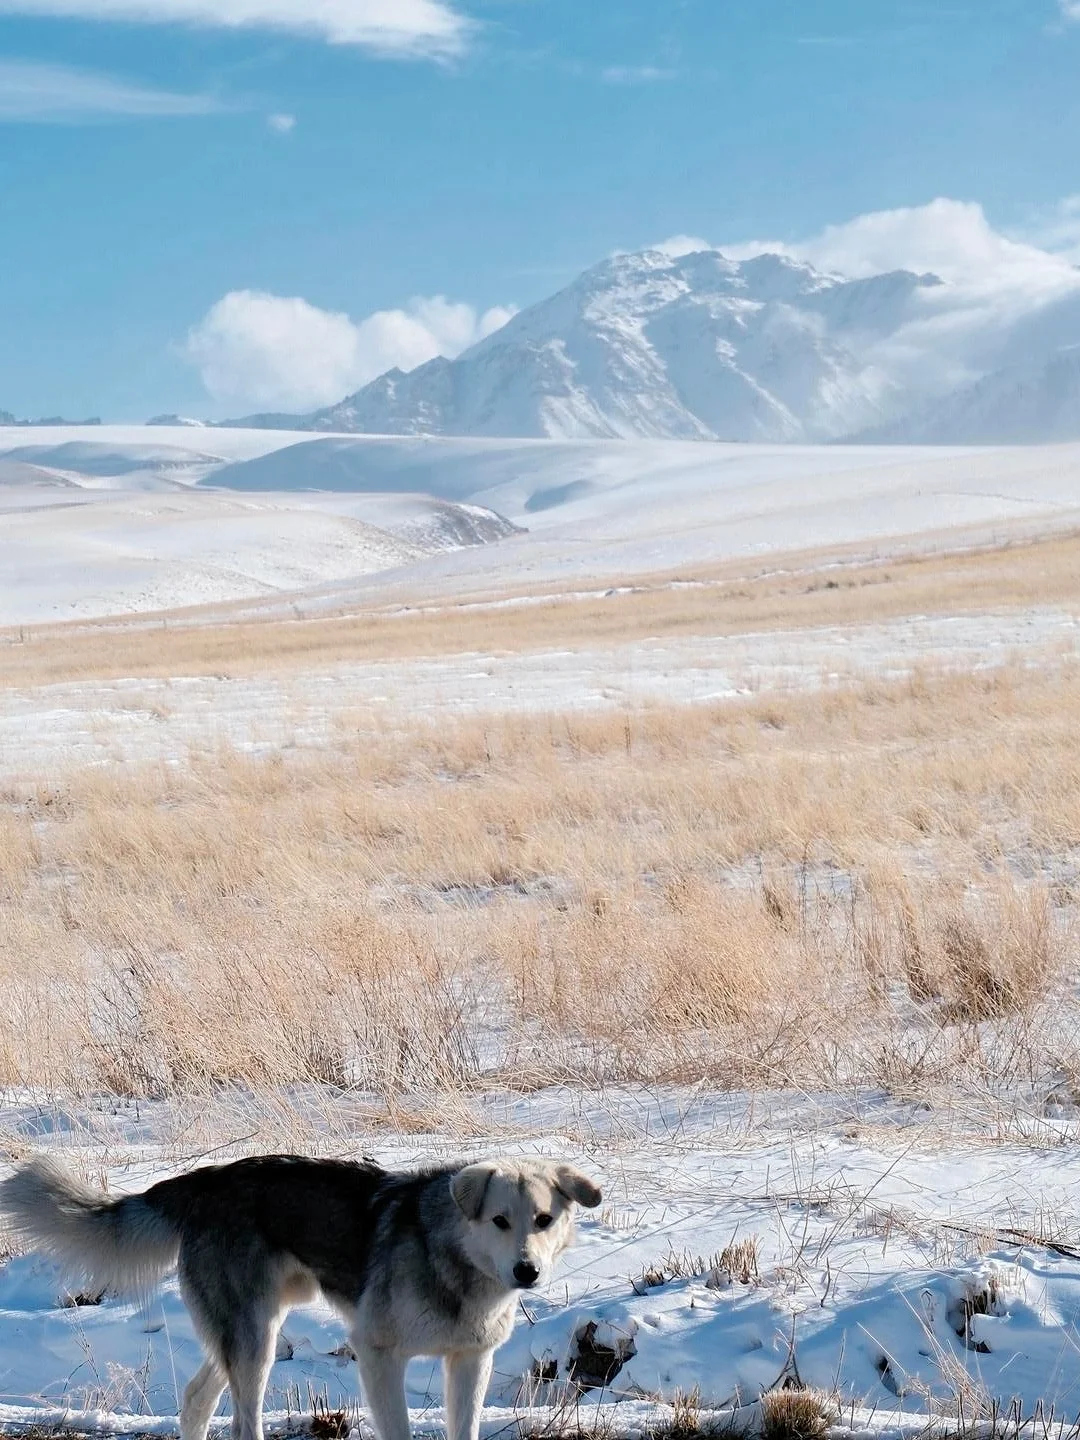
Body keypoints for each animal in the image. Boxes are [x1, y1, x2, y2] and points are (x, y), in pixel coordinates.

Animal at [0, 1152, 601, 1440]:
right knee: (242, 1425)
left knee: (196, 1402)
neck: (452, 1261)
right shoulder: (379, 1357)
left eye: (543, 1220)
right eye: (500, 1221)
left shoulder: (470, 1362)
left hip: (245, 1334)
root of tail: (207, 1178)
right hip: (255, 1342)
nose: (527, 1271)